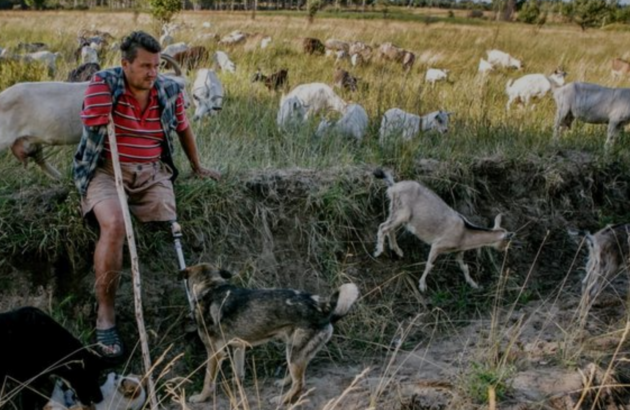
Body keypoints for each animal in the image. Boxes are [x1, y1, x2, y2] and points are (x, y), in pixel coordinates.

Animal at [376, 168, 512, 294]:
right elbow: (429, 264)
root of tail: (393, 187)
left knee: (390, 229)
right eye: (506, 242)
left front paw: (474, 284)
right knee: (383, 227)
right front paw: (422, 285)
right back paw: (378, 251)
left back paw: (397, 251)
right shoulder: (437, 245)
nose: (503, 250)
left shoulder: (458, 252)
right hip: (402, 213)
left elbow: (464, 267)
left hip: (396, 212)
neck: (464, 234)